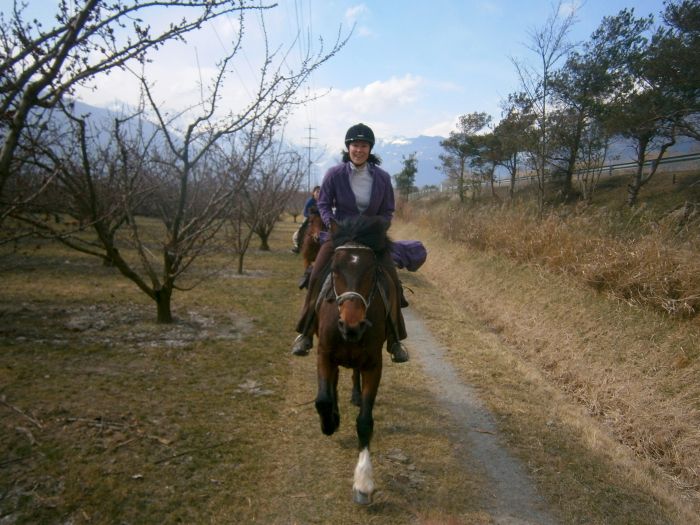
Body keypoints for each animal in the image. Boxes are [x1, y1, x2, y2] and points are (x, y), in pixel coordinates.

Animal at [314, 214, 396, 504]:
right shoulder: (324, 354)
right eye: (335, 269)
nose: (352, 326)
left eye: (372, 270)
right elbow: (323, 399)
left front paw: (363, 482)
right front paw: (330, 422)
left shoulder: (373, 364)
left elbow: (365, 421)